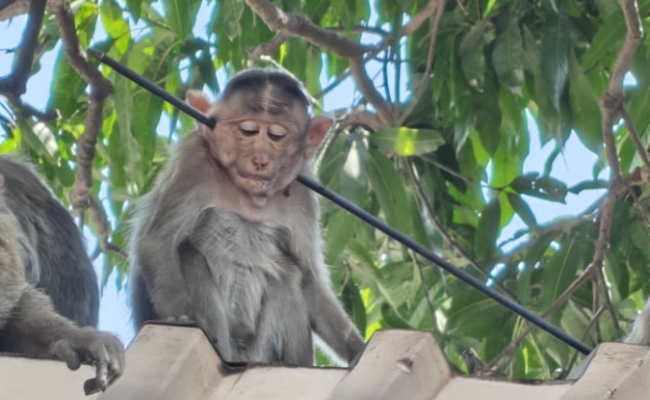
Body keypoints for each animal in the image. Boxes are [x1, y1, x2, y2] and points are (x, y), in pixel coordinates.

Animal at [129, 68, 365, 366]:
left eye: (277, 135)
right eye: (248, 131)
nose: (260, 158)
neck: (249, 197)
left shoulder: (302, 195)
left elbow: (309, 278)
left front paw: (356, 347)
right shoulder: (194, 161)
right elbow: (158, 241)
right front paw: (181, 317)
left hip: (259, 351)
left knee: (287, 275)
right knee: (188, 254)